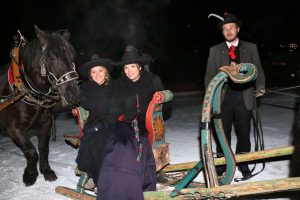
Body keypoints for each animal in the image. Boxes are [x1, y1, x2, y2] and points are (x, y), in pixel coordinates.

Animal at [0, 25, 79, 187]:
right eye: (51, 57)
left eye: (72, 55)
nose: (74, 94)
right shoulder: (13, 128)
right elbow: (31, 151)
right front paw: (30, 175)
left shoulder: (46, 124)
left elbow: (43, 149)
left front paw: (46, 171)